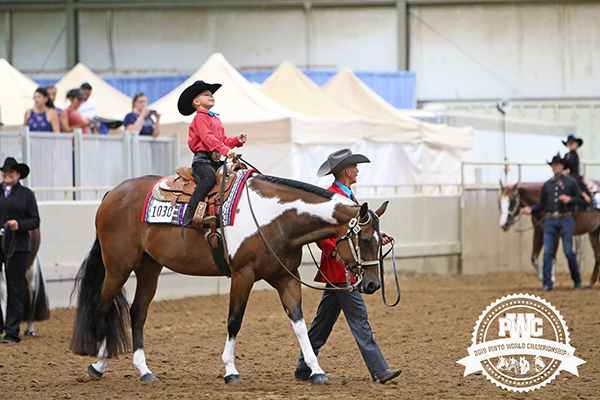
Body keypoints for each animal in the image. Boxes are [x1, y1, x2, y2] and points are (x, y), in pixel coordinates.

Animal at [70, 170, 392, 386]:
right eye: (364, 239)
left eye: (380, 241)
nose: (372, 284)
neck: (273, 217)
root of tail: (112, 194)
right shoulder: (242, 275)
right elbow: (234, 321)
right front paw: (230, 371)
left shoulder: (285, 278)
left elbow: (301, 325)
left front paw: (317, 370)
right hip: (119, 267)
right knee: (102, 307)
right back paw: (98, 365)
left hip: (150, 268)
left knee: (138, 313)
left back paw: (144, 370)